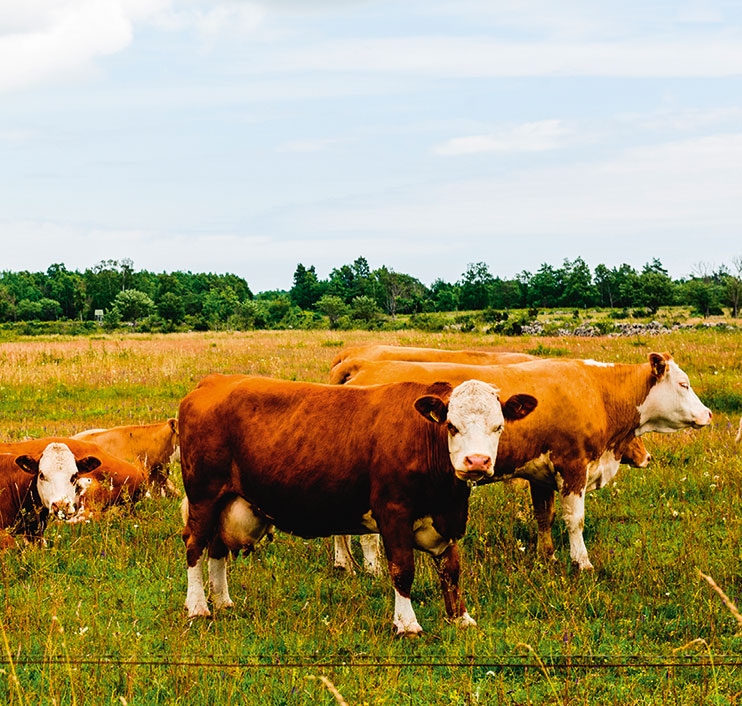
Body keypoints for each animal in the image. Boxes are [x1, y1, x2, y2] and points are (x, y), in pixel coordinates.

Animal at [180, 374, 540, 632]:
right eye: (452, 426)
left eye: (498, 426)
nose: (477, 461)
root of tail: (213, 381)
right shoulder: (393, 511)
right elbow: (402, 569)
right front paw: (406, 623)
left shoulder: (447, 518)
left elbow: (451, 569)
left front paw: (460, 618)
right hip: (203, 496)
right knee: (195, 546)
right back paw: (198, 606)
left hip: (226, 501)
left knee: (216, 548)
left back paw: (222, 601)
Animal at [328, 354, 712, 568]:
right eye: (683, 383)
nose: (708, 414)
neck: (597, 391)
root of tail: (365, 363)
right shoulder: (573, 465)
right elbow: (575, 520)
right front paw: (581, 562)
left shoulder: (542, 473)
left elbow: (544, 517)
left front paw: (548, 556)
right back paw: (373, 569)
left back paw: (345, 565)